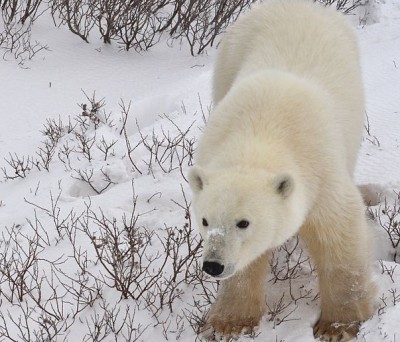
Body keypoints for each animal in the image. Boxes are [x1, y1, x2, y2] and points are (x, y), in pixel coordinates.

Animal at [189, 1, 376, 340]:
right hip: (227, 59)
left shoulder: (321, 173)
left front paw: (338, 326)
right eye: (205, 220)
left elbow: (338, 237)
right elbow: (248, 262)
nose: (213, 265)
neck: (260, 136)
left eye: (243, 222)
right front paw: (228, 323)